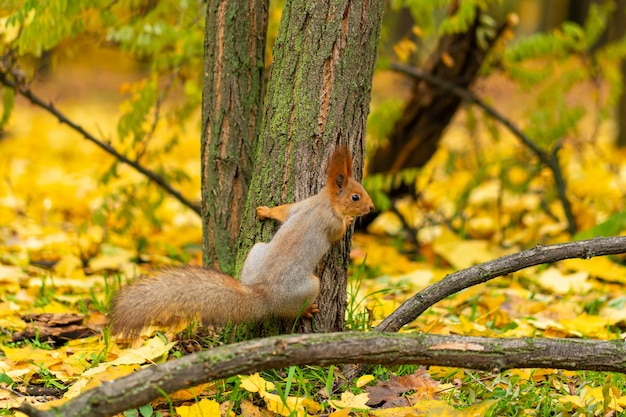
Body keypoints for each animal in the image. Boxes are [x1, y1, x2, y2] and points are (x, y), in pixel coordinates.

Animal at [108, 145, 372, 336]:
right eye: (355, 197)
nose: (370, 207)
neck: (325, 202)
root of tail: (263, 295)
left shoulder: (300, 206)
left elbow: (282, 211)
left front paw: (265, 211)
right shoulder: (330, 223)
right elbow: (337, 234)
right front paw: (349, 221)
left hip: (257, 250)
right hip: (309, 286)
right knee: (291, 312)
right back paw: (307, 310)